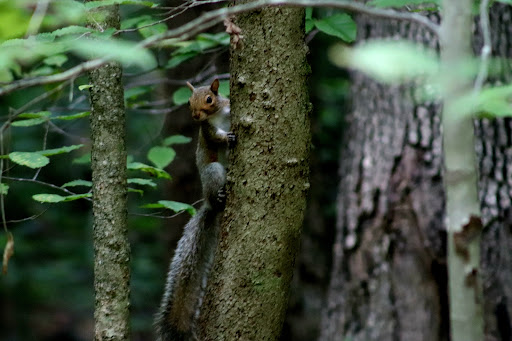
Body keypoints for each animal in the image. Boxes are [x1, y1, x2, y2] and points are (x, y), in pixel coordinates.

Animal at [155, 78, 235, 338]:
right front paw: (227, 139)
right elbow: (216, 138)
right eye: (189, 101)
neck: (217, 114)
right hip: (213, 172)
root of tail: (209, 203)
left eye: (209, 99)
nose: (195, 116)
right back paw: (220, 196)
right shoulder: (207, 130)